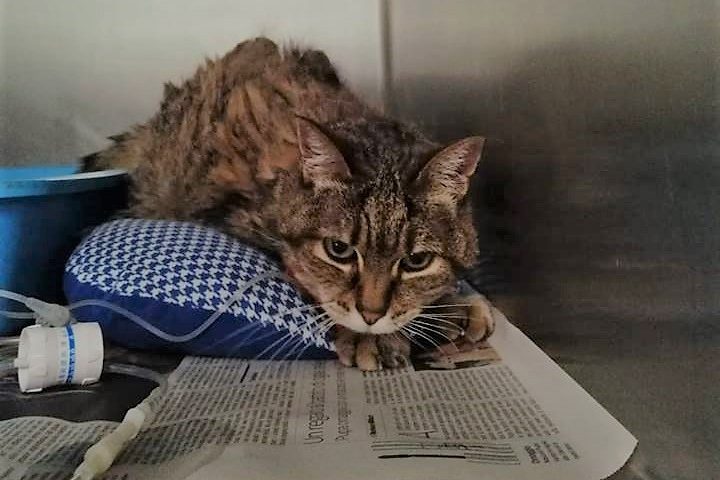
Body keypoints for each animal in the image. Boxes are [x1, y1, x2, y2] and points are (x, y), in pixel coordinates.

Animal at [85, 37, 496, 371]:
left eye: (416, 261)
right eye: (338, 250)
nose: (371, 315)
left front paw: (451, 305)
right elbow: (310, 280)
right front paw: (369, 337)